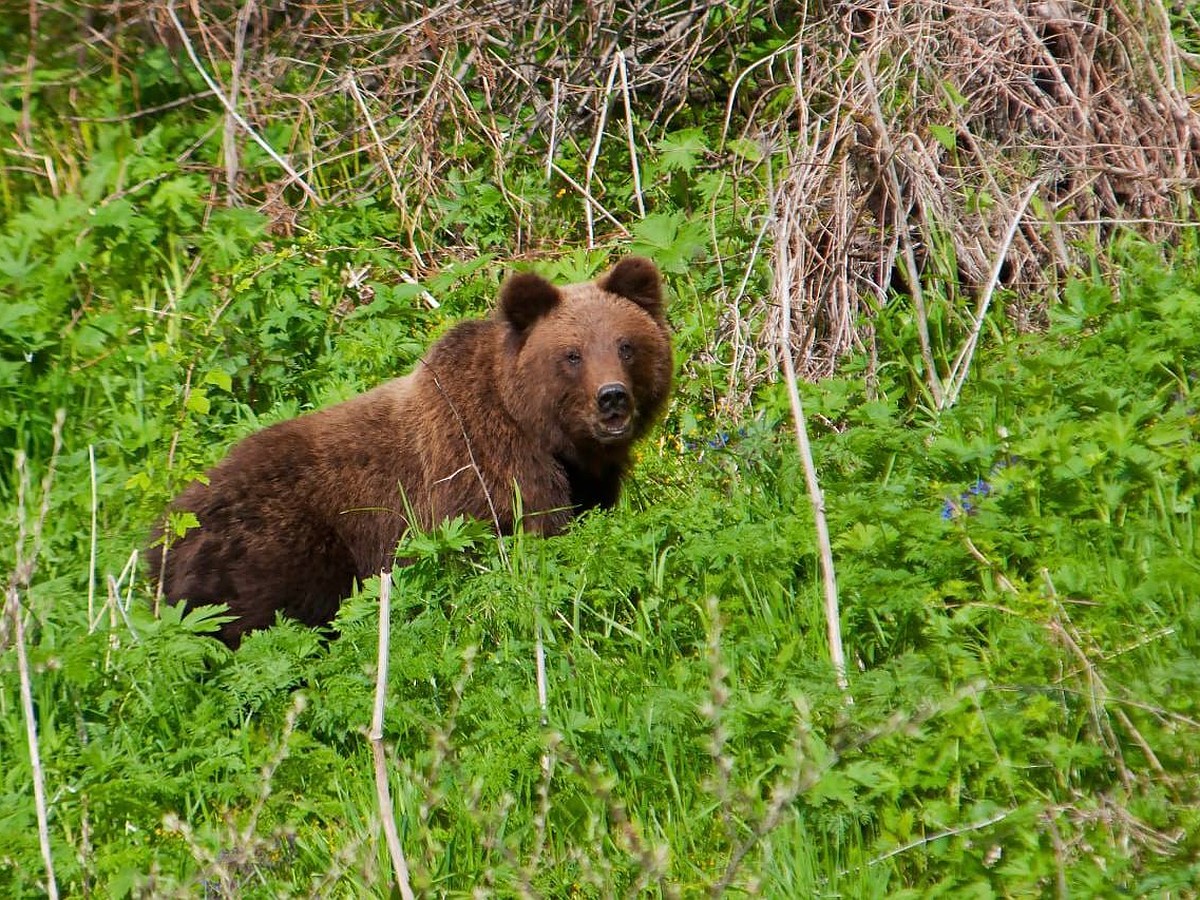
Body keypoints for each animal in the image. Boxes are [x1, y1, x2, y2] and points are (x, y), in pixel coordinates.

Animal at [146, 256, 672, 643]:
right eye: (572, 354)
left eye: (626, 345)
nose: (612, 398)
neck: (544, 434)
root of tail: (166, 530)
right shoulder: (479, 469)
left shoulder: (588, 482)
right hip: (272, 546)